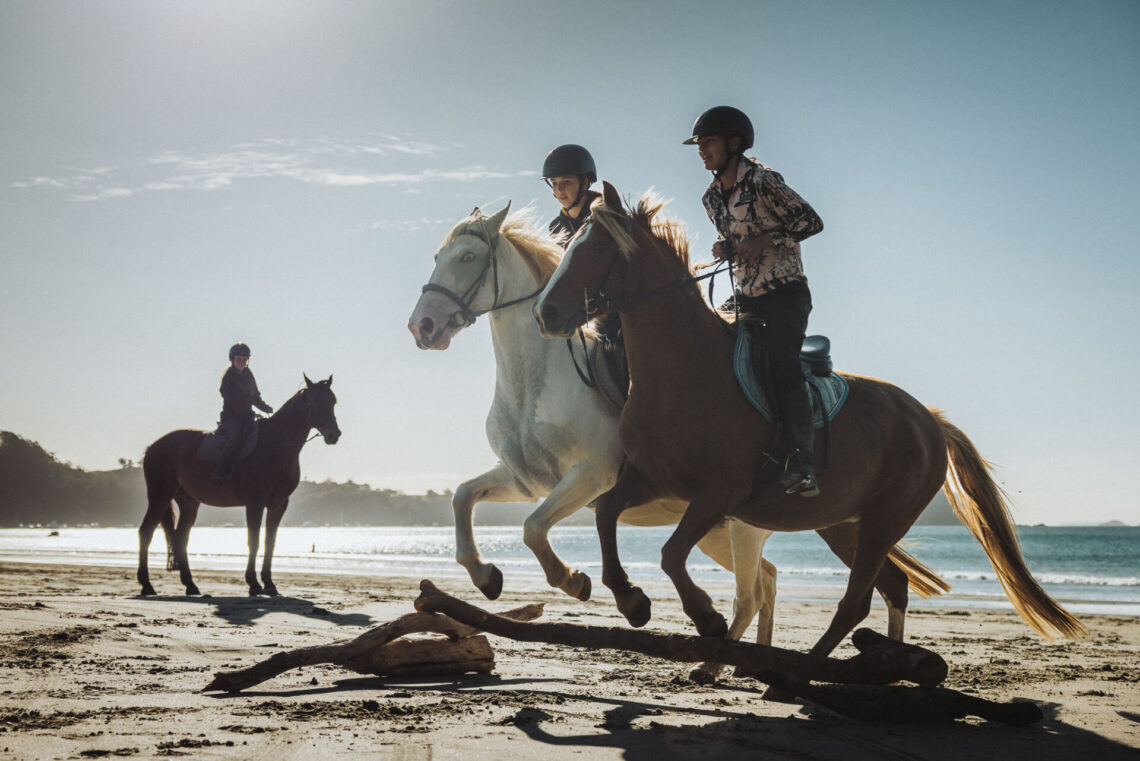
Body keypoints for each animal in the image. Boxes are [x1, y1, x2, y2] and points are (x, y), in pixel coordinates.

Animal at [136, 378, 337, 596]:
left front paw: (269, 583)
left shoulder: (278, 505)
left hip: (189, 501)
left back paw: (190, 584)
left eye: (333, 401)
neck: (275, 444)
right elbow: (254, 541)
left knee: (181, 537)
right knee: (146, 532)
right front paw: (254, 583)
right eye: (315, 401)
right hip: (160, 495)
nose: (334, 434)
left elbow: (270, 543)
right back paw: (146, 584)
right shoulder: (255, 503)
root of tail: (153, 447)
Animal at [408, 205, 775, 678]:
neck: (533, 380)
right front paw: (486, 576)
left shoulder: (592, 476)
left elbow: (532, 528)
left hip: (740, 525)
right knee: (767, 579)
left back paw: (717, 664)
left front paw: (576, 581)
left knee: (751, 593)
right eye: (439, 256)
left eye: (468, 257)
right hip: (717, 529)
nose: (422, 326)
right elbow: (462, 497)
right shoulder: (523, 481)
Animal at [533, 181, 1085, 656]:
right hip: (843, 523)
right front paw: (632, 601)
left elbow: (670, 554)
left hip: (883, 521)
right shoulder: (653, 480)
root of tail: (928, 420)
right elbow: (606, 516)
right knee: (892, 587)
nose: (545, 313)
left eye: (596, 249)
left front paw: (706, 617)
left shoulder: (719, 494)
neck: (683, 370)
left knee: (858, 600)